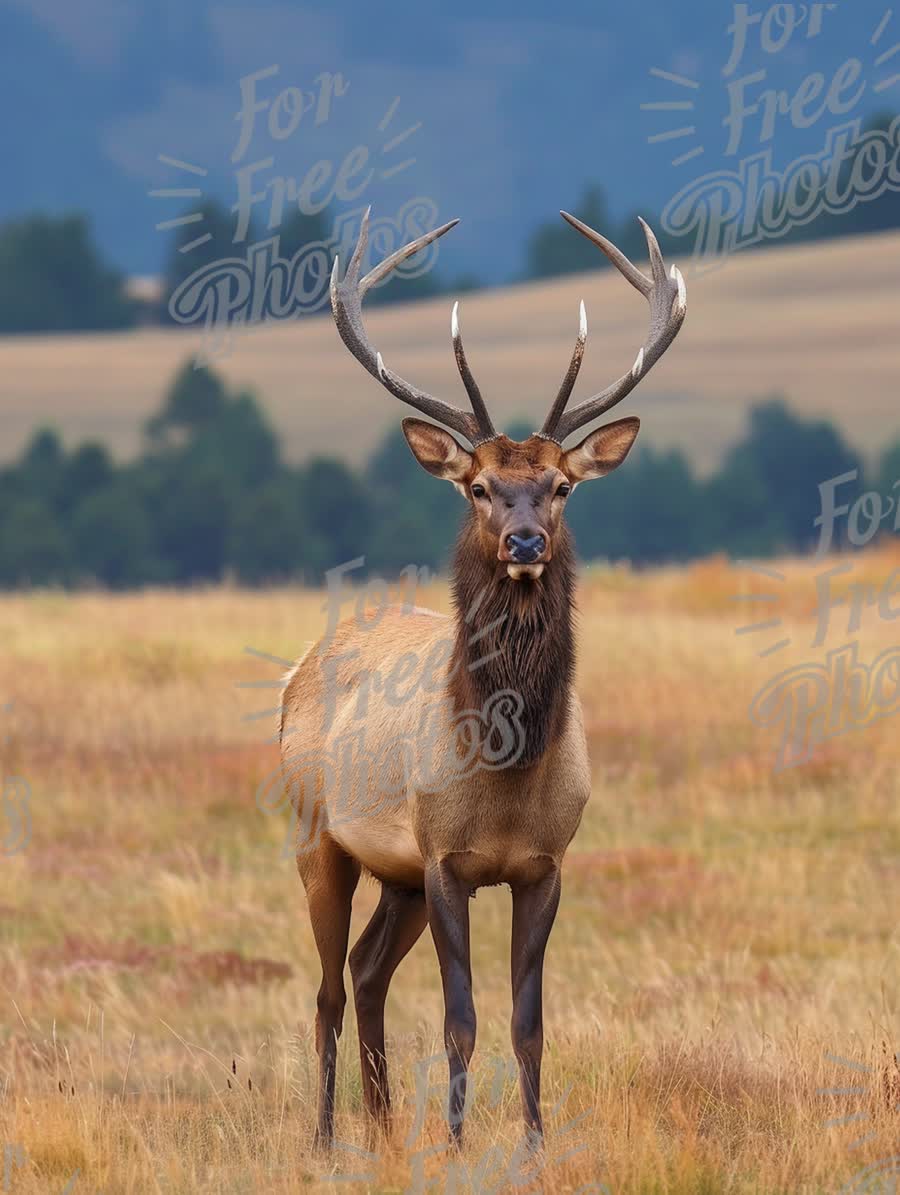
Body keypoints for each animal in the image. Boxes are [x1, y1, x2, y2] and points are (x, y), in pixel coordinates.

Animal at [277, 210, 683, 1151]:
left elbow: (527, 1020)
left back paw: (385, 1128)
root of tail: (300, 665)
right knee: (326, 988)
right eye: (479, 486)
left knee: (366, 971)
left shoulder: (544, 862)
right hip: (320, 834)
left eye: (562, 484)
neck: (504, 774)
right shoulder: (445, 857)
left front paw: (533, 1143)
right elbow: (459, 1017)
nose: (525, 541)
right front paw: (461, 1143)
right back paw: (324, 1136)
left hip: (394, 869)